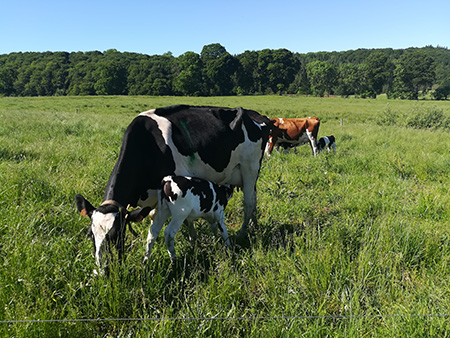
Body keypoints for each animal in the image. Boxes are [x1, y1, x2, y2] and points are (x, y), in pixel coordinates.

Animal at [75, 104, 270, 270]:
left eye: (116, 235)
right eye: (90, 236)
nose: (104, 271)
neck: (148, 144)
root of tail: (255, 115)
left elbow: (188, 220)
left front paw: (192, 241)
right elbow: (154, 226)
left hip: (250, 168)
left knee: (248, 203)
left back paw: (244, 232)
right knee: (254, 199)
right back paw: (254, 226)